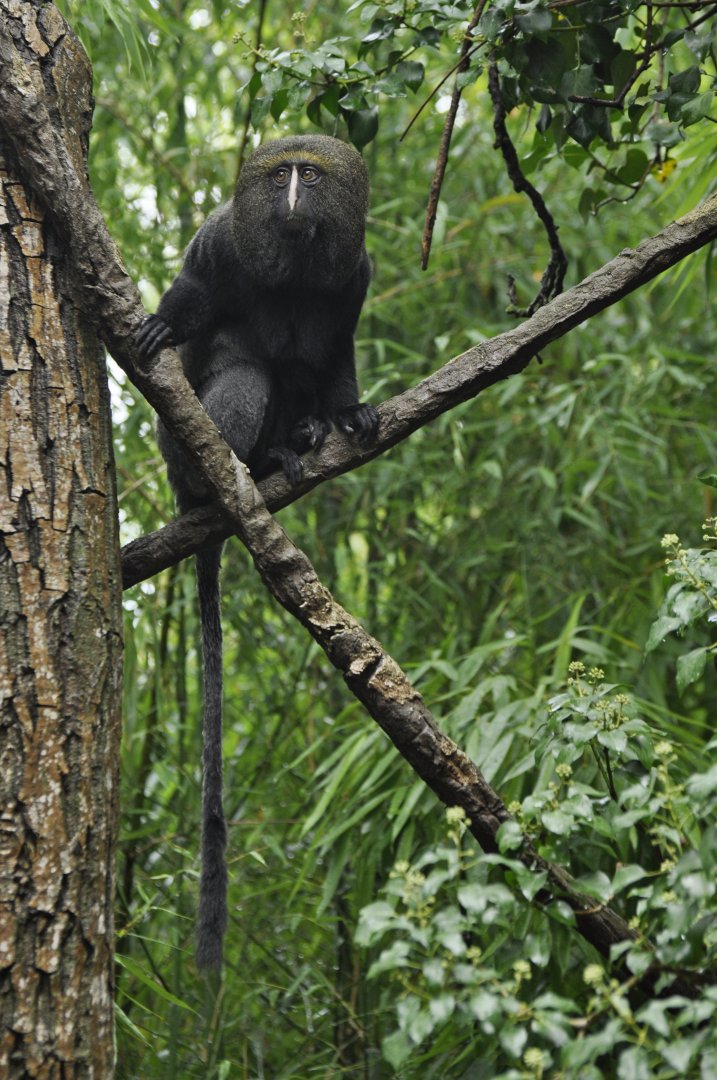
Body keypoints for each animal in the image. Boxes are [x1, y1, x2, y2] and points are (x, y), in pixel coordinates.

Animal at [135, 134, 378, 968]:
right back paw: (248, 467)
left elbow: (333, 352)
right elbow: (191, 302)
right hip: (181, 455)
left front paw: (347, 413)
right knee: (244, 374)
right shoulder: (219, 242)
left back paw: (297, 440)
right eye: (280, 174)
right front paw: (160, 324)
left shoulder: (354, 273)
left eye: (312, 174)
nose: (295, 196)